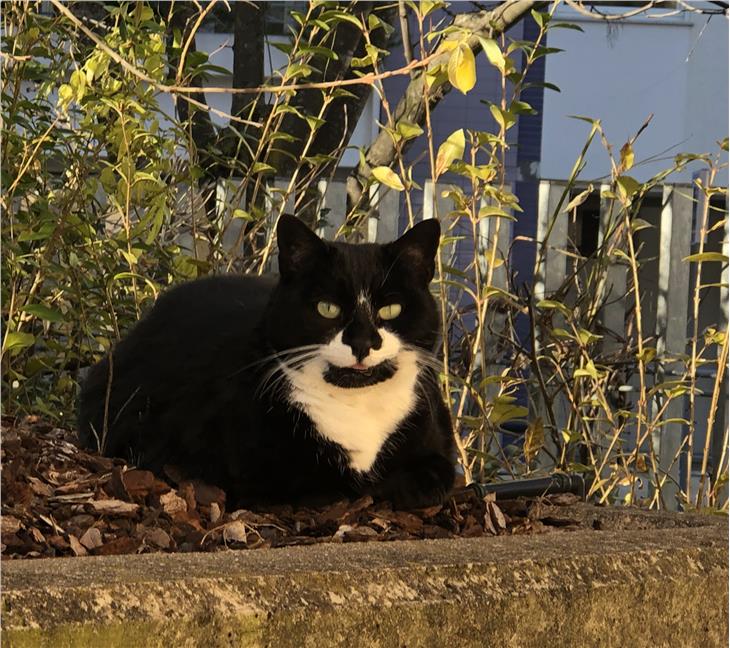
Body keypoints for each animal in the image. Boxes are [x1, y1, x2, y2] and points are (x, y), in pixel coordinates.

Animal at [79, 215, 456, 508]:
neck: (356, 408)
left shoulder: (435, 445)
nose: (363, 343)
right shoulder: (257, 471)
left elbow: (430, 478)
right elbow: (331, 486)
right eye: (327, 308)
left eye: (391, 310)